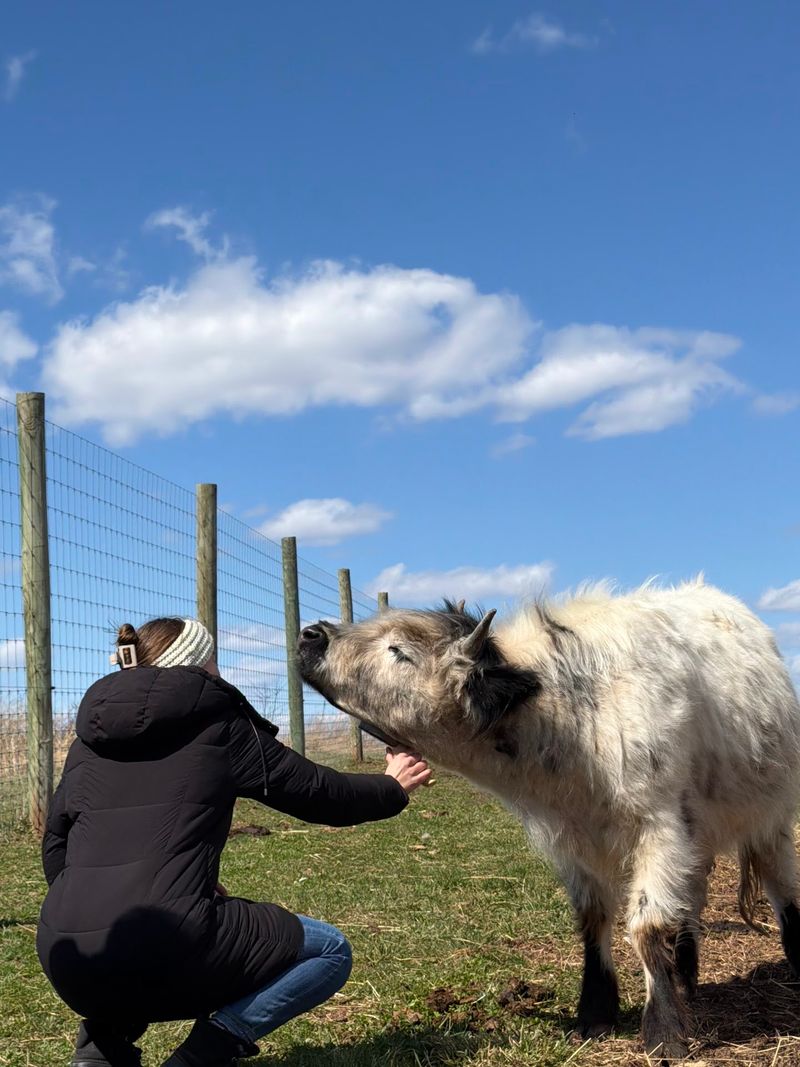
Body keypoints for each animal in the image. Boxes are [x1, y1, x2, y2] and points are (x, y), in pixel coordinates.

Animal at [296, 579, 800, 1060]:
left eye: (398, 650)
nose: (310, 635)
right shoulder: (572, 840)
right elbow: (593, 918)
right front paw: (595, 1012)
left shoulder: (659, 827)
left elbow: (648, 925)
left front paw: (663, 1032)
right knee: (692, 900)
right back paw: (687, 977)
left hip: (770, 820)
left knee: (781, 891)